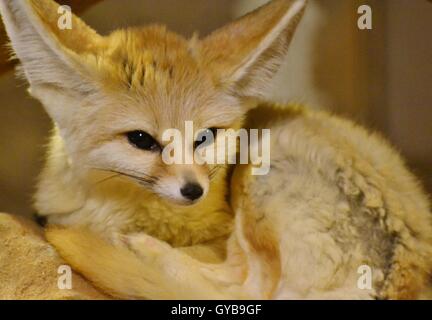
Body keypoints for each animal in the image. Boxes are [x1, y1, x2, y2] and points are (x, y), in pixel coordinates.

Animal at [1, 0, 430, 300]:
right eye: (141, 139)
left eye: (205, 137)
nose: (194, 191)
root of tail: (406, 272)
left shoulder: (220, 230)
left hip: (262, 168)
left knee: (249, 288)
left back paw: (146, 250)